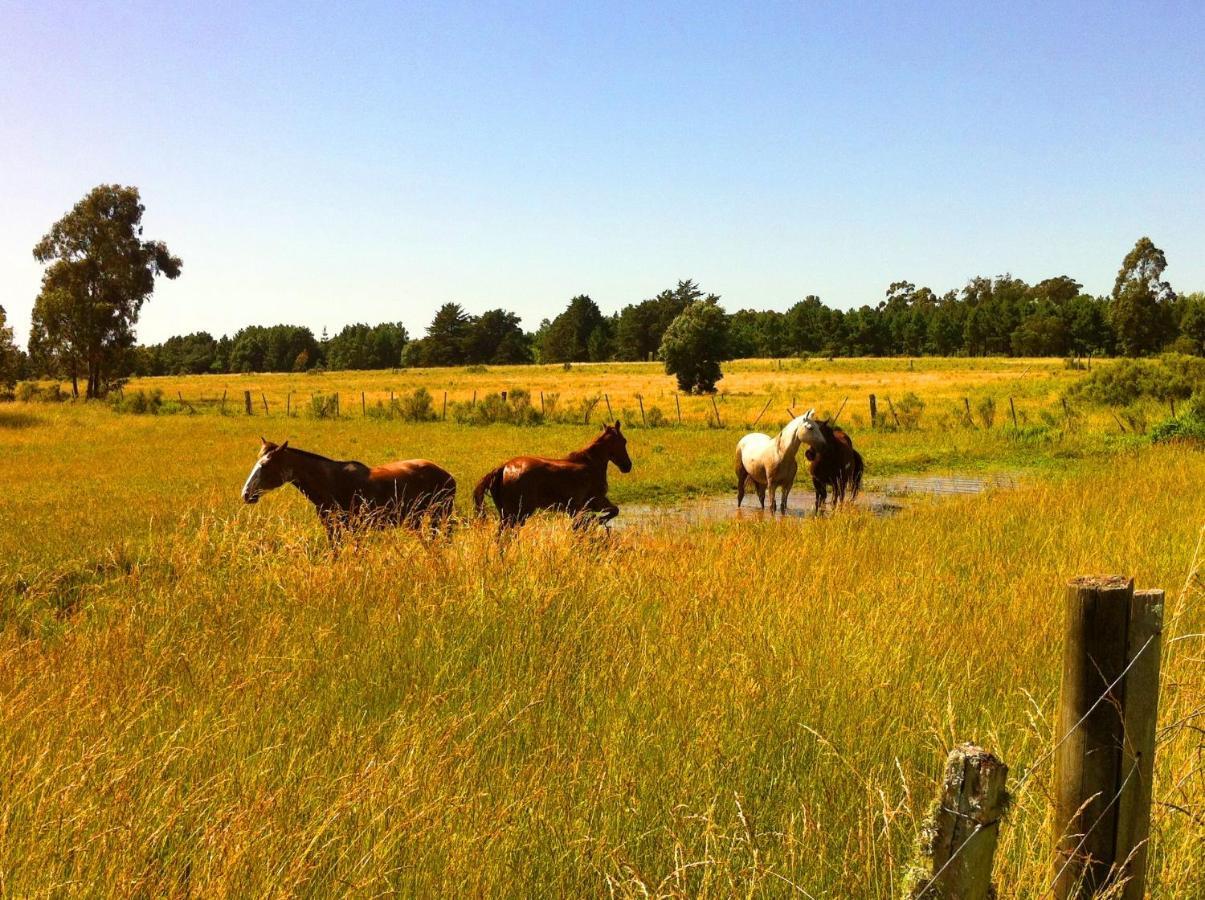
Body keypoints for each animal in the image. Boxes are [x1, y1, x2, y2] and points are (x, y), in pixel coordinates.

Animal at [241, 438, 455, 542]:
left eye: (265, 465)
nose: (246, 494)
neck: (331, 483)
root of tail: (449, 476)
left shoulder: (355, 528)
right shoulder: (331, 528)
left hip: (438, 516)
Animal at [474, 421, 636, 527]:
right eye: (624, 440)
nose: (627, 466)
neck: (590, 464)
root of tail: (503, 467)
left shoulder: (581, 507)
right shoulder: (596, 500)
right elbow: (613, 511)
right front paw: (595, 521)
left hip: (506, 514)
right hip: (519, 514)